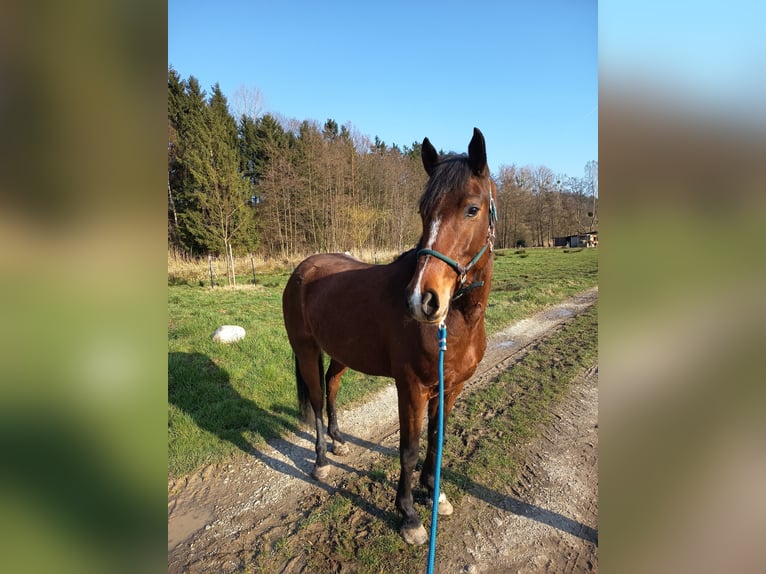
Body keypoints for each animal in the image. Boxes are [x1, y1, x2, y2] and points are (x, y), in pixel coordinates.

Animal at [282, 128, 497, 545]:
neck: (458, 322)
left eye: (472, 209)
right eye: (423, 211)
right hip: (305, 350)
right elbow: (409, 449)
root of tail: (304, 267)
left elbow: (436, 438)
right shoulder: (411, 387)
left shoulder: (450, 387)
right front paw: (409, 515)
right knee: (316, 398)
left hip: (341, 353)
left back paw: (339, 440)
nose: (423, 300)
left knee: (332, 386)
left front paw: (435, 494)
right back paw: (321, 460)